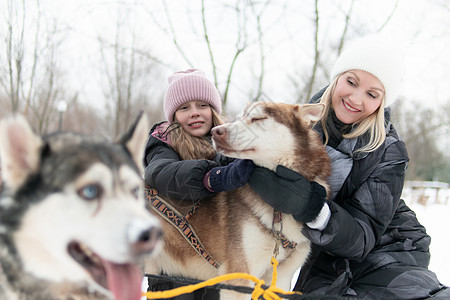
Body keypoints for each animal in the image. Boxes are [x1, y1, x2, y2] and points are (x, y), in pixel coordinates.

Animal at [144, 102, 330, 298]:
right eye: (241, 117)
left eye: (258, 118)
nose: (216, 131)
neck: (278, 210)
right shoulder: (238, 277)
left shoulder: (281, 278)